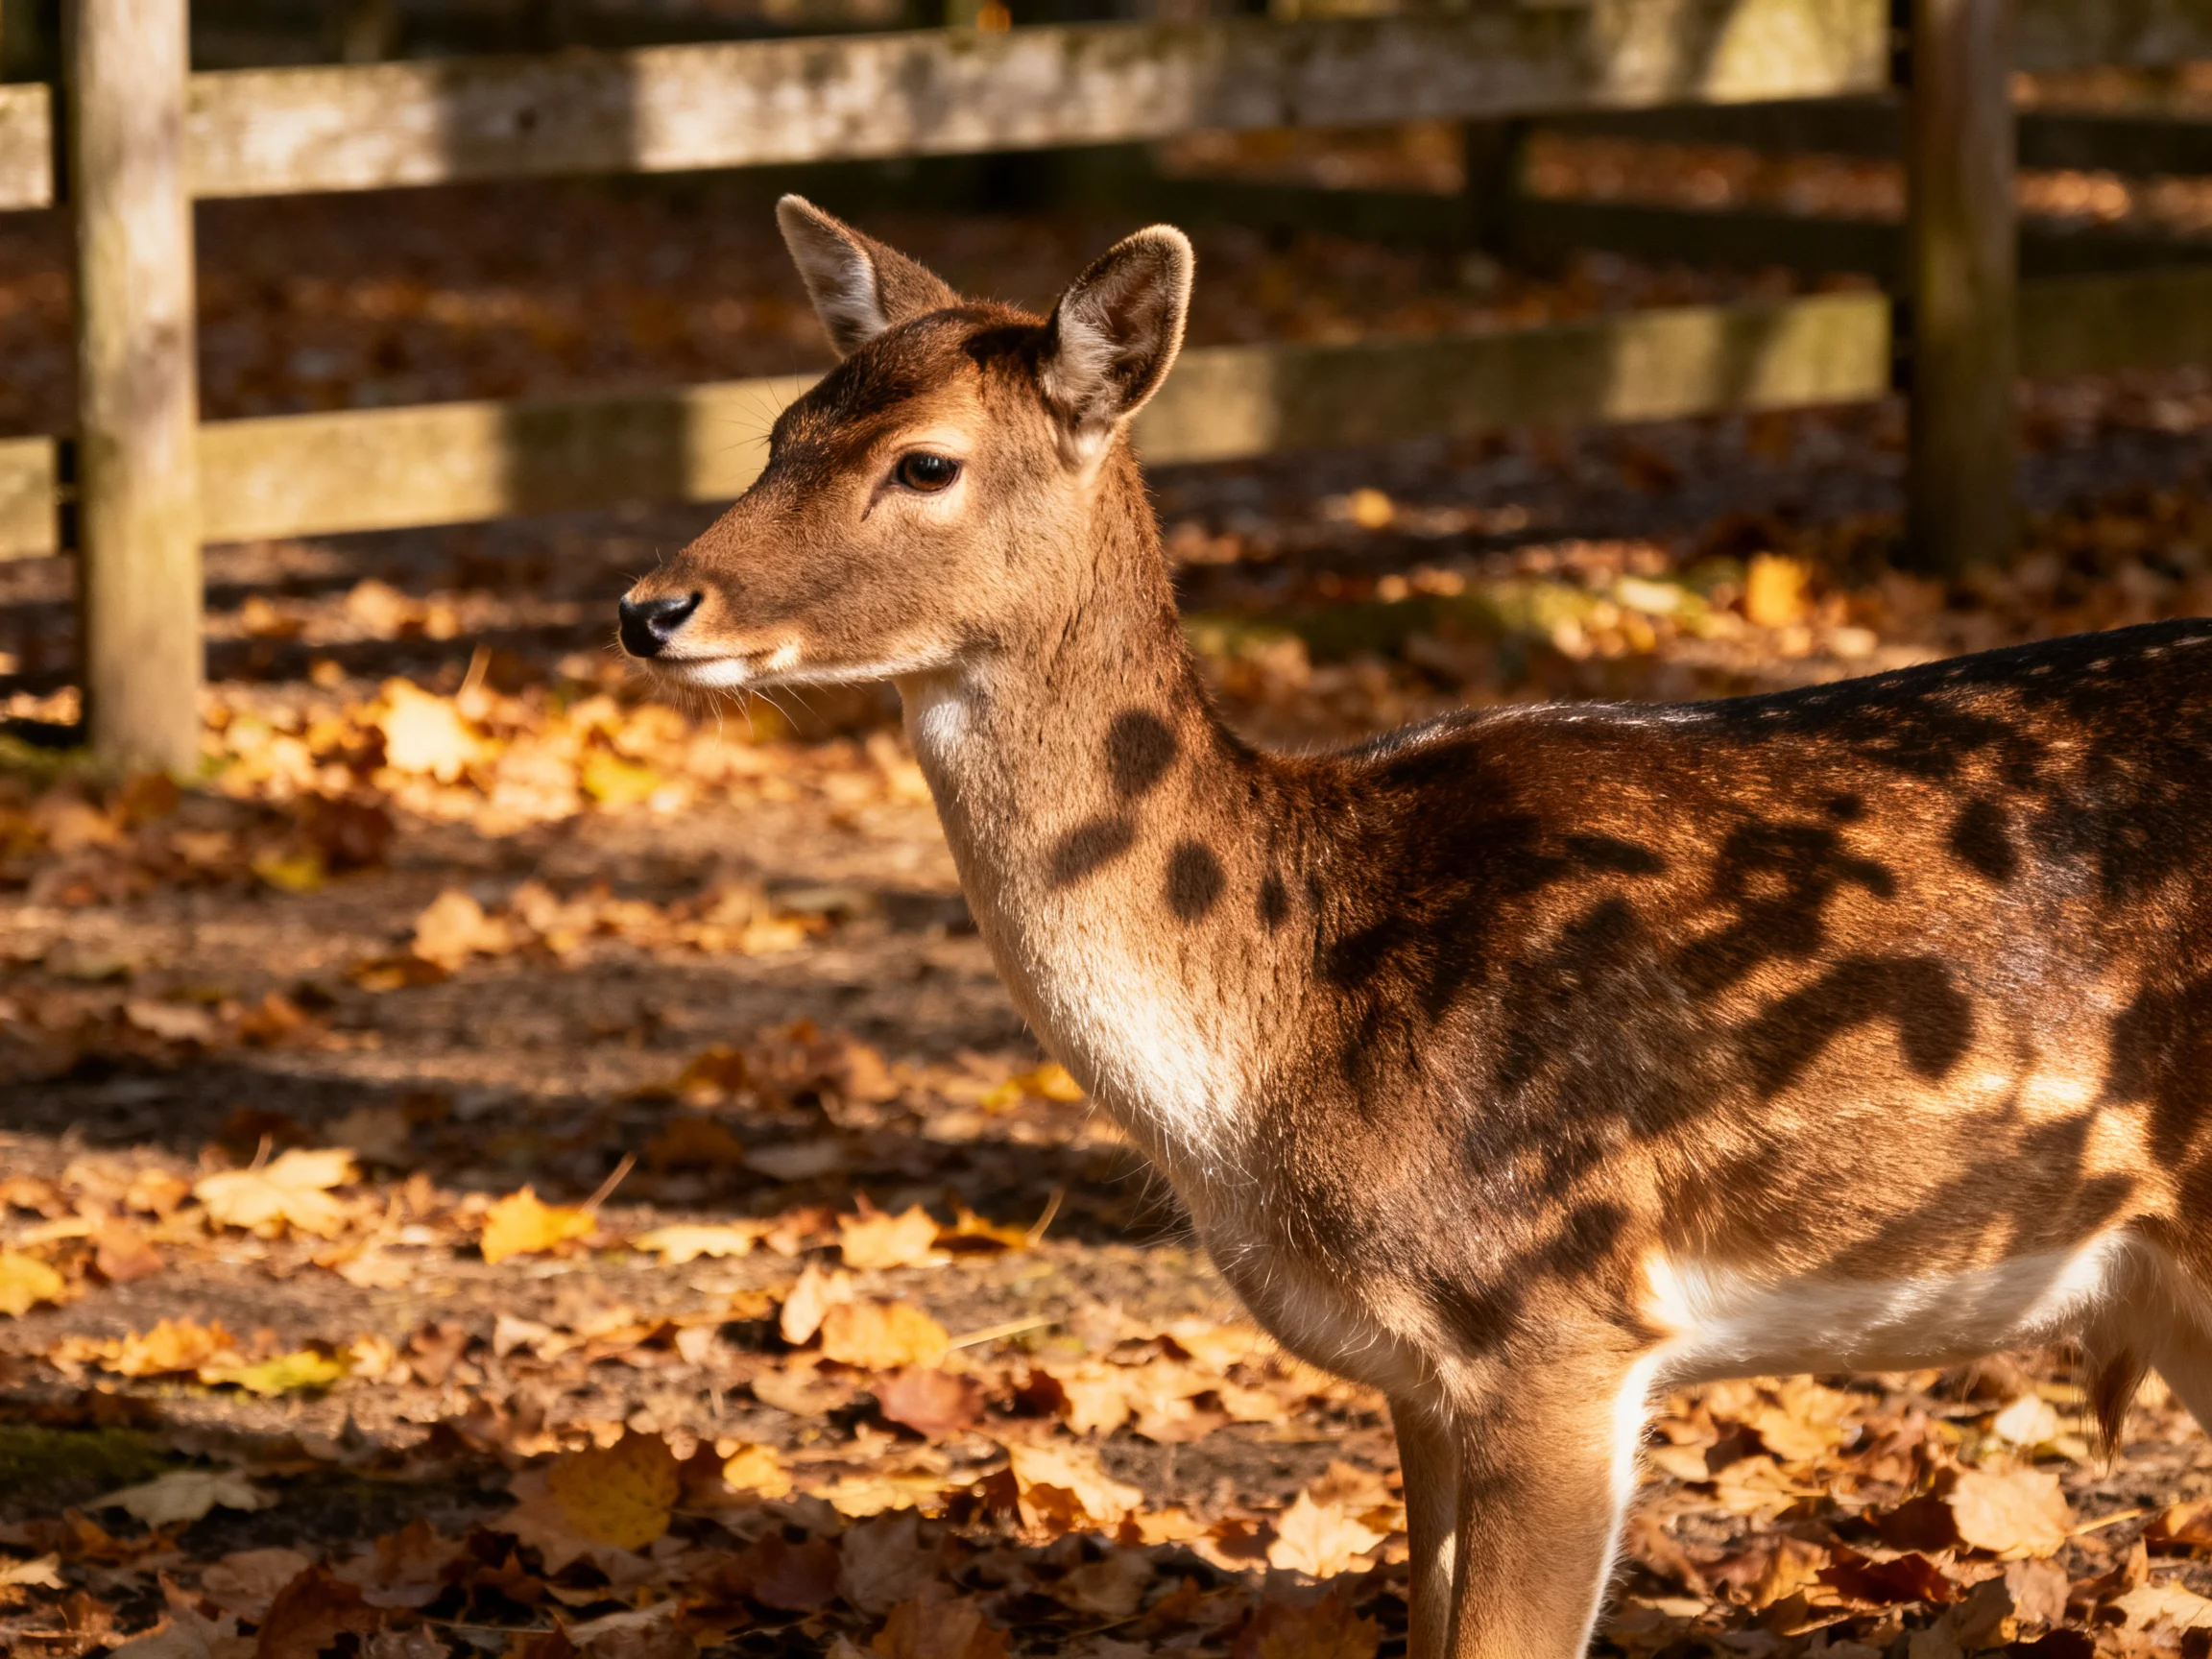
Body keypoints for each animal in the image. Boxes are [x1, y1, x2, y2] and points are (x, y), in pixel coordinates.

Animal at [616, 197, 2212, 1658]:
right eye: (779, 432)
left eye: (925, 461)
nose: (651, 605)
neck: (1274, 1066)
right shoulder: (1419, 1376)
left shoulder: (1558, 1323)